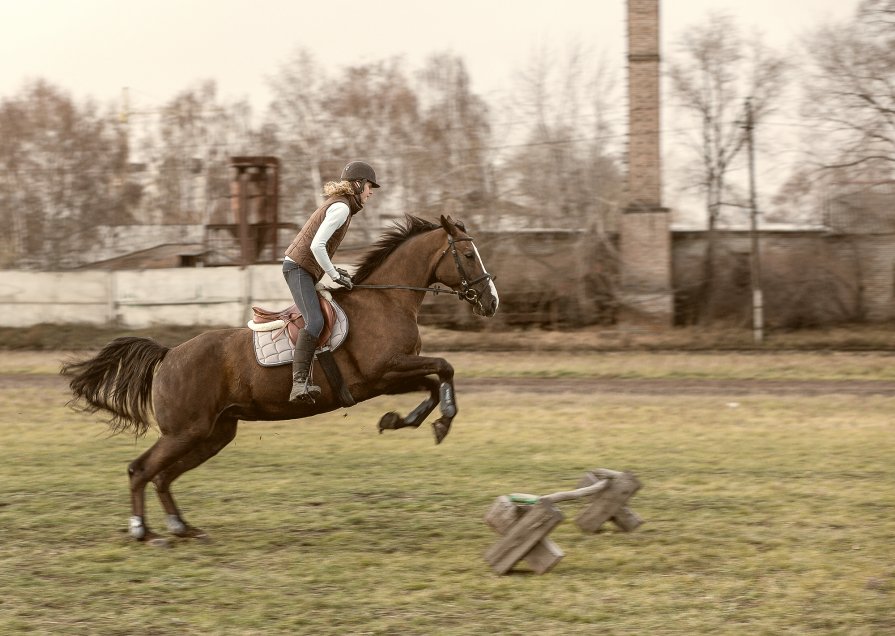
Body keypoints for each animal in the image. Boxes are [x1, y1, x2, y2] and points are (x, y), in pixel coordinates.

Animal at [62, 216, 496, 544]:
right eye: (468, 255)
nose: (492, 302)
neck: (386, 300)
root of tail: (169, 355)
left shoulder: (387, 379)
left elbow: (433, 382)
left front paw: (408, 421)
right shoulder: (386, 369)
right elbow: (444, 367)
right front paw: (443, 419)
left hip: (213, 433)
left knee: (163, 477)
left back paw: (182, 527)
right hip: (185, 431)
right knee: (141, 470)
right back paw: (143, 532)